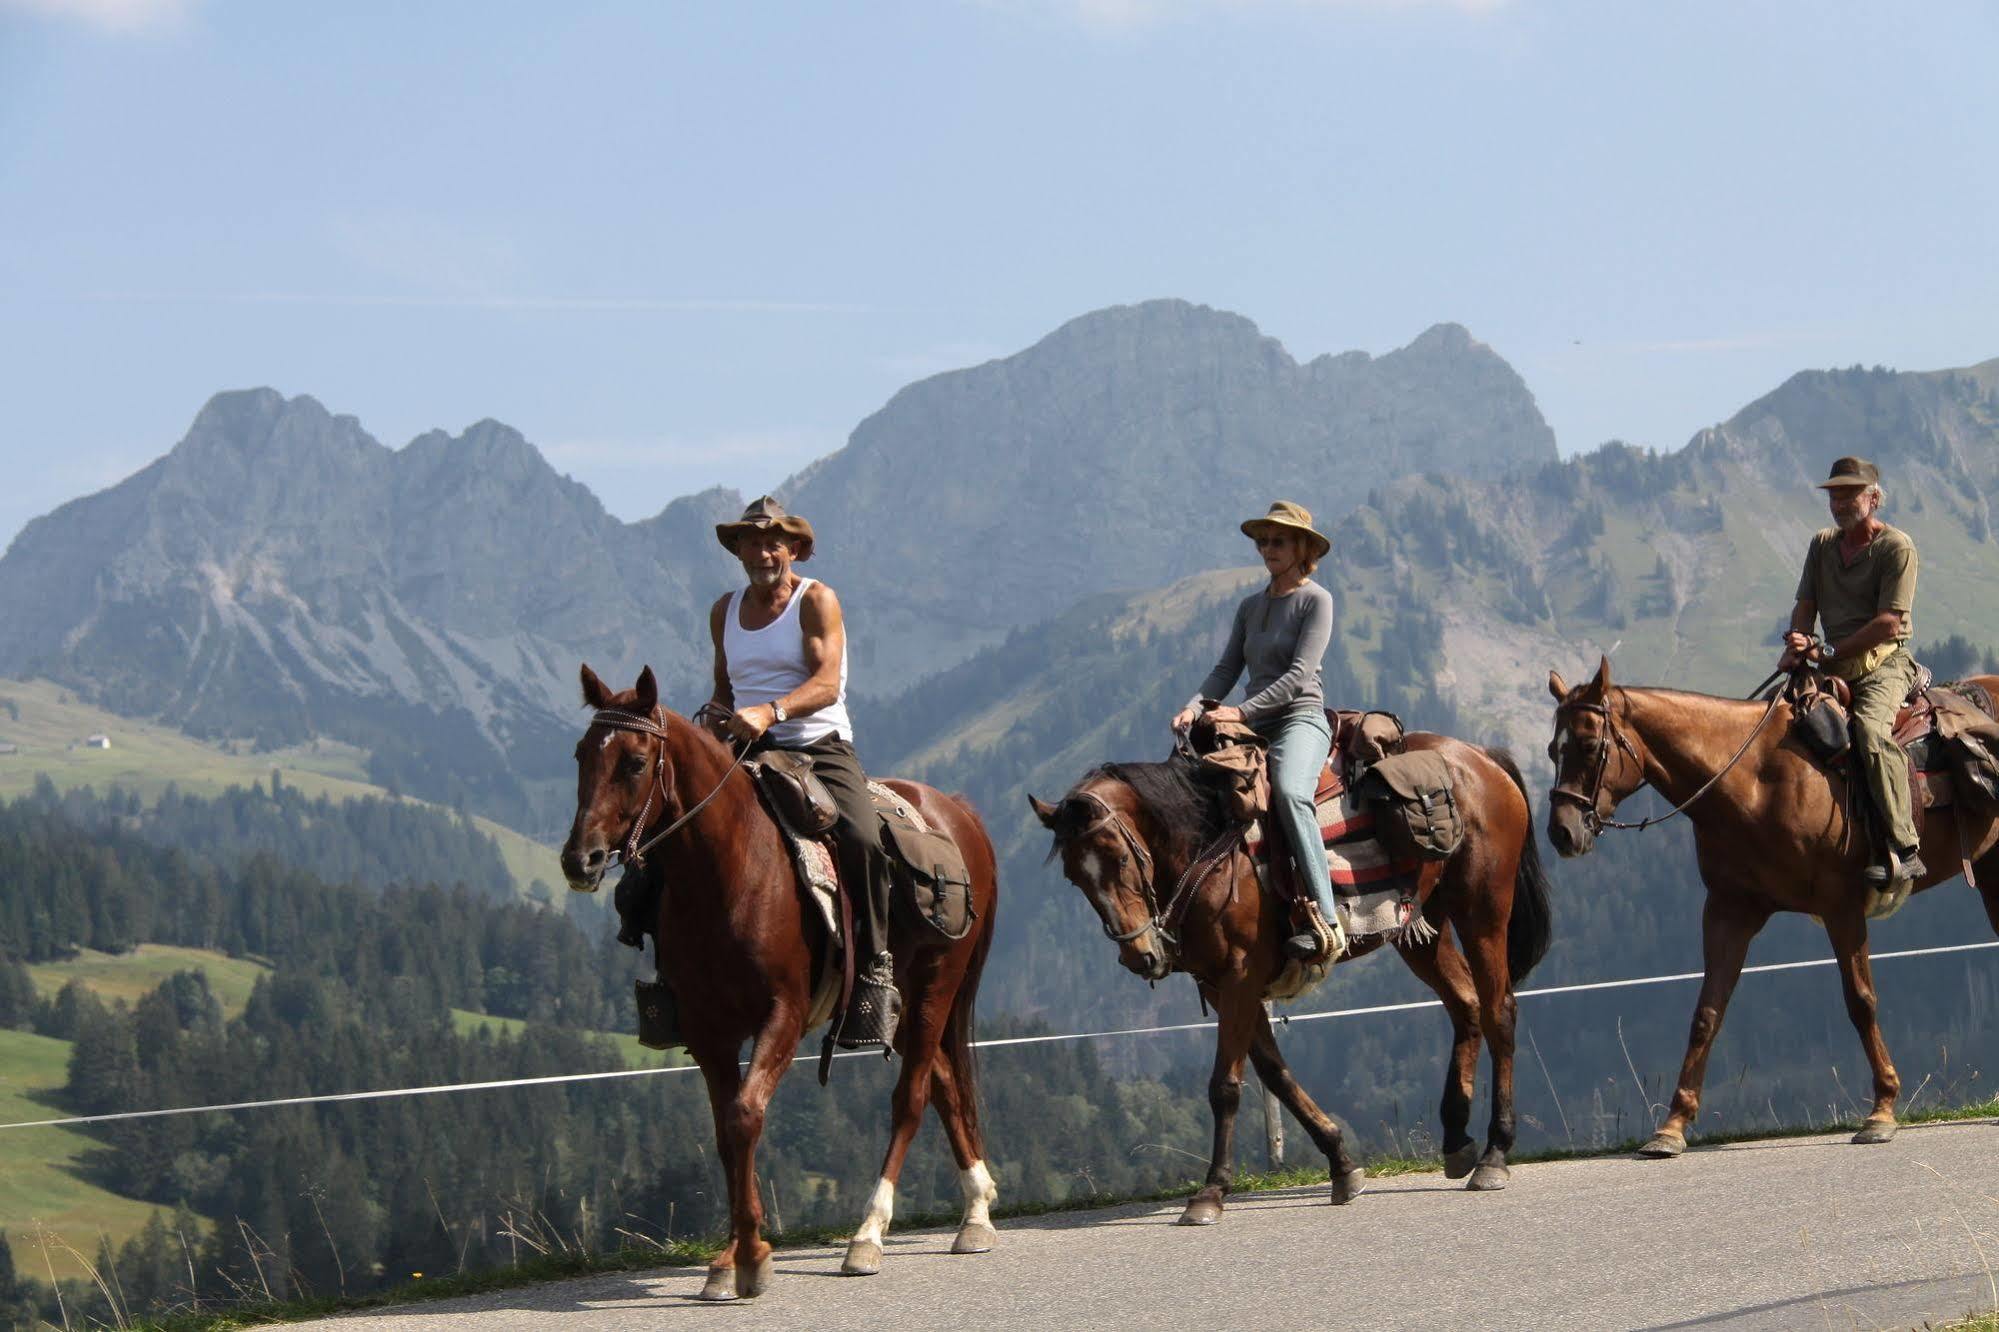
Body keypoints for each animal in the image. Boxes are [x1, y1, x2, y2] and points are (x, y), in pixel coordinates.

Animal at [559, 664, 999, 1296]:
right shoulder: (708, 1032)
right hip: (908, 999)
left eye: (635, 763)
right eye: (580, 755)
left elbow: (746, 1117)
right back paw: (976, 1212)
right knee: (943, 1081)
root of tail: (960, 814)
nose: (581, 860)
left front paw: (750, 1256)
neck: (730, 871)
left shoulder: (784, 1015)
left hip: (939, 981)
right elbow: (726, 1133)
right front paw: (731, 1256)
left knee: (912, 1096)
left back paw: (869, 1234)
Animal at [1031, 732, 1559, 1216]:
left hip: (1482, 910)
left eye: (1120, 857)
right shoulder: (1219, 985)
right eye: (1074, 877)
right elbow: (1275, 1074)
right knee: (1465, 1005)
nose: (1139, 955)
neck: (1207, 847)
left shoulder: (1239, 977)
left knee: (1498, 1012)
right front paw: (1341, 1164)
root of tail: (1481, 757)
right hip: (1422, 928)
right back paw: (1456, 1140)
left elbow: (1225, 1085)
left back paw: (1494, 1154)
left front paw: (1212, 1190)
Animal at [1543, 652, 1999, 1152]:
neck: (1754, 781)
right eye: (1551, 750)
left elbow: (1861, 1001)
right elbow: (1707, 1013)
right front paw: (1672, 1126)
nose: (1562, 832)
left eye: (1589, 744)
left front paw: (1881, 1110)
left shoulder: (1841, 906)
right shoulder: (1729, 911)